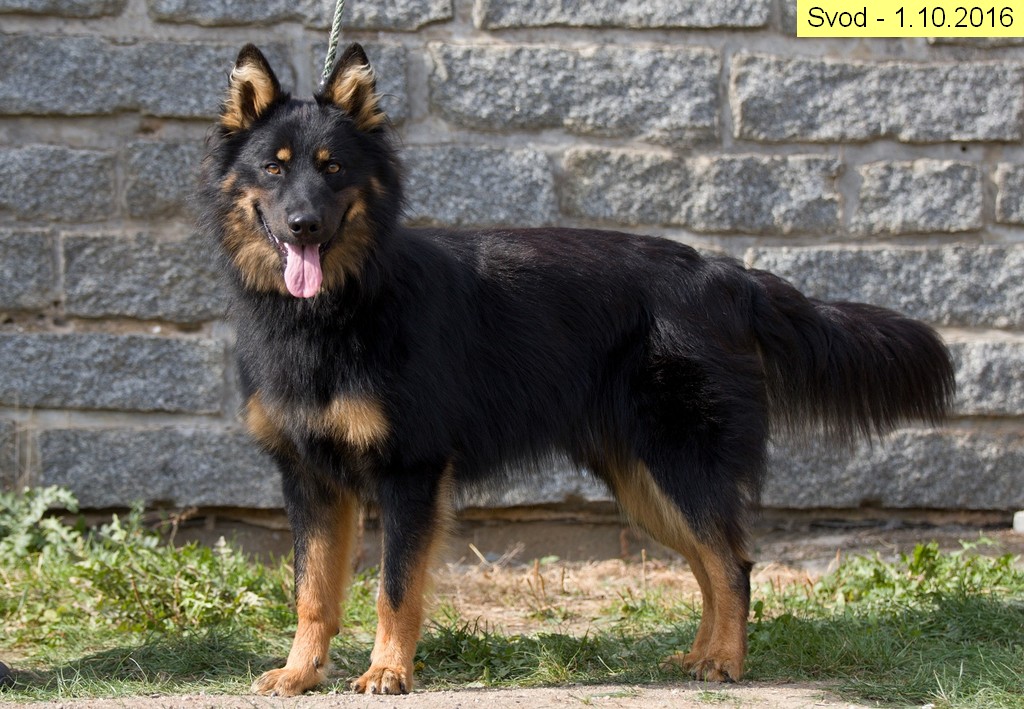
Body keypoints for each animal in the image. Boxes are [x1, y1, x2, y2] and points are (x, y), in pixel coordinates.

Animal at [196, 43, 955, 695]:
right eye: (274, 168)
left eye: (332, 168)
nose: (303, 226)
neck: (343, 304)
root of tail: (728, 276)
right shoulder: (310, 480)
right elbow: (312, 590)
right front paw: (302, 672)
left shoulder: (411, 474)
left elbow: (395, 588)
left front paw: (388, 671)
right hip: (645, 482)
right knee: (713, 563)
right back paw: (701, 655)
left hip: (678, 466)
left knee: (731, 562)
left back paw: (727, 662)